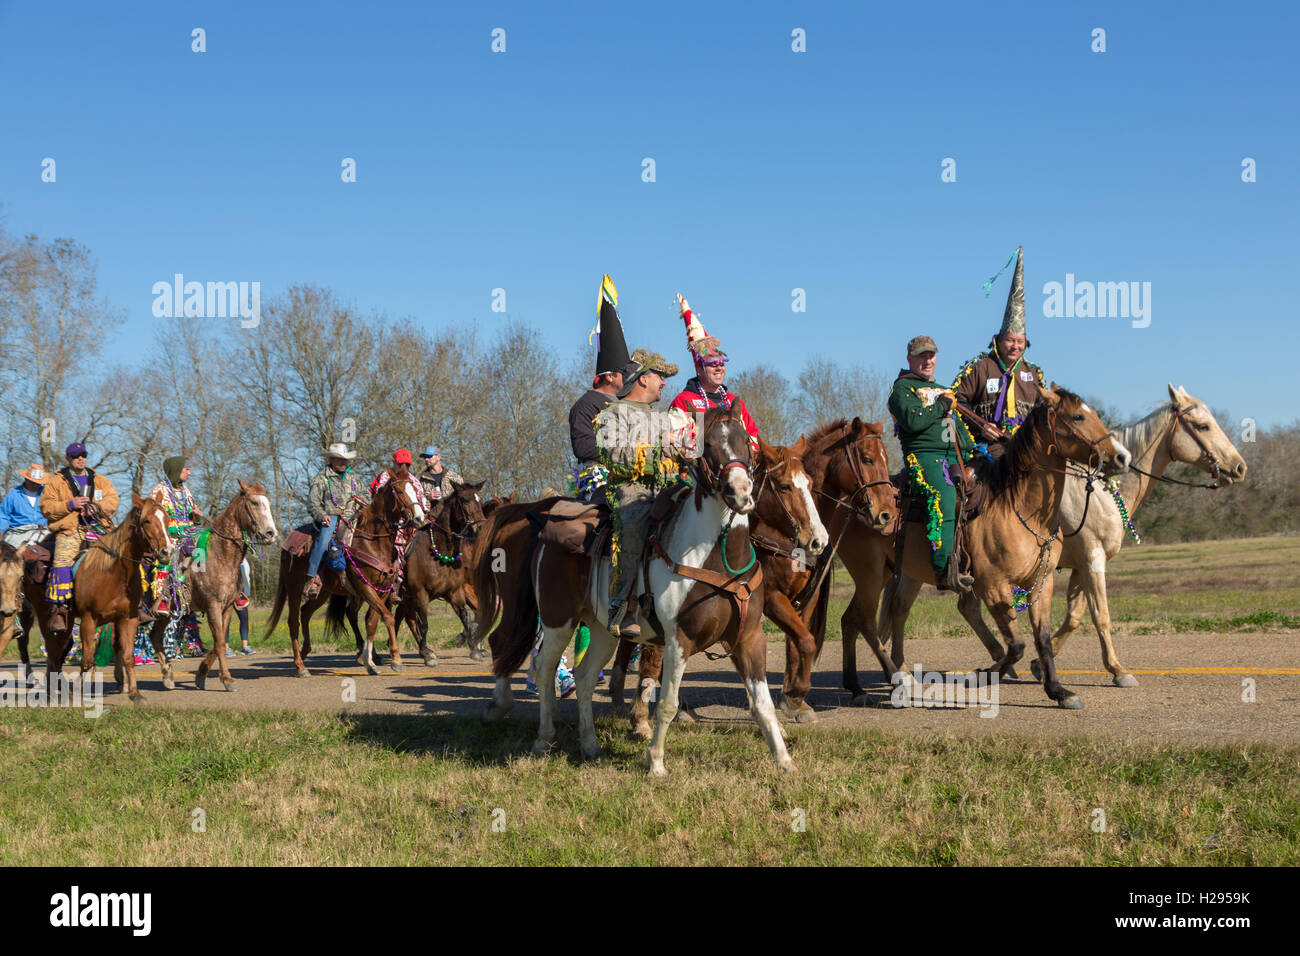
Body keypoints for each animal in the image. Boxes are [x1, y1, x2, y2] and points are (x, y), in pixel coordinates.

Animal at [147, 481, 279, 691]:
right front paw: (227, 680)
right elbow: (219, 642)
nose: (270, 533)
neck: (221, 556)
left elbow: (220, 642)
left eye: (268, 503)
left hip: (165, 614)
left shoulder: (227, 607)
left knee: (155, 637)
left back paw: (167, 675)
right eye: (254, 503)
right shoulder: (213, 606)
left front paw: (201, 674)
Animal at [263, 465, 426, 676]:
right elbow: (388, 617)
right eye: (399, 491)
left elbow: (373, 621)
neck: (372, 541)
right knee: (293, 621)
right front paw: (396, 659)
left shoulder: (383, 589)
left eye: (415, 489)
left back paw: (305, 652)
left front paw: (370, 662)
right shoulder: (364, 586)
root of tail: (286, 544)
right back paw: (300, 665)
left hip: (323, 592)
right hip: (294, 589)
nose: (420, 518)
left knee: (306, 613)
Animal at [478, 403, 821, 780]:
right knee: (543, 667)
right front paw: (655, 760)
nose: (741, 492)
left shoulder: (749, 637)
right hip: (558, 621)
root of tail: (542, 520)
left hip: (602, 628)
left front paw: (784, 760)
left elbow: (762, 703)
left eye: (746, 442)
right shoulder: (678, 640)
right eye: (708, 445)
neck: (716, 557)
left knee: (584, 677)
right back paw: (543, 737)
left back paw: (590, 744)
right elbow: (667, 703)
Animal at [878, 390, 1133, 712]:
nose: (1122, 456)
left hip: (910, 572)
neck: (1020, 508)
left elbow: (1043, 639)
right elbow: (1017, 645)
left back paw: (901, 672)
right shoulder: (993, 585)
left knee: (899, 610)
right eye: (1078, 417)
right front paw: (980, 676)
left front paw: (1058, 691)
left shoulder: (1043, 581)